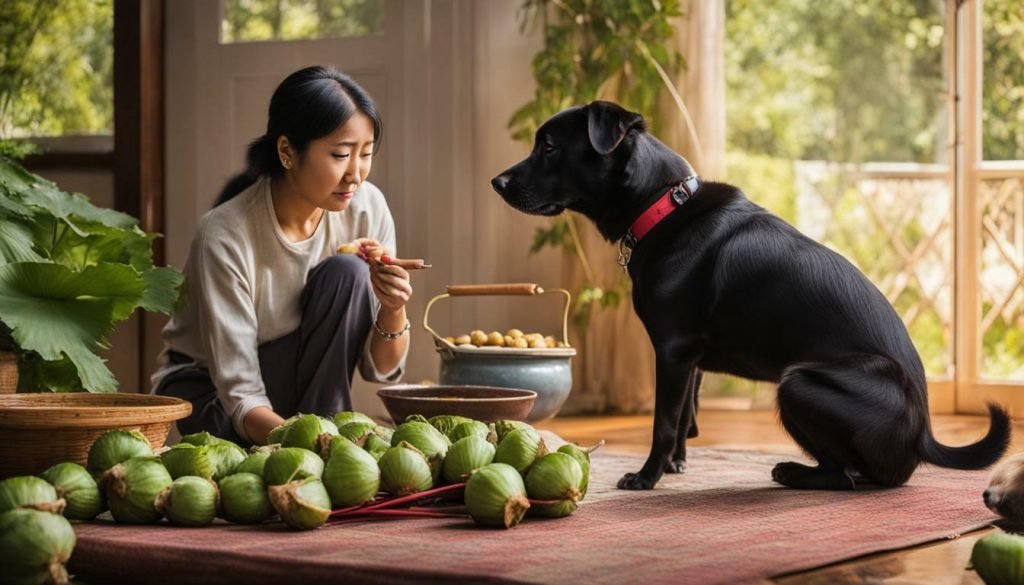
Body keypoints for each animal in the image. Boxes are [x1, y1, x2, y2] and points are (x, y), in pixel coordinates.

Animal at [491, 102, 1011, 491]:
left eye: (549, 146)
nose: (496, 182)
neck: (662, 206)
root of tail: (923, 434)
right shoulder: (690, 360)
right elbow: (686, 414)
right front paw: (677, 465)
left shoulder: (673, 351)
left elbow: (663, 422)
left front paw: (646, 477)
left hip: (797, 382)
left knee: (848, 477)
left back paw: (794, 472)